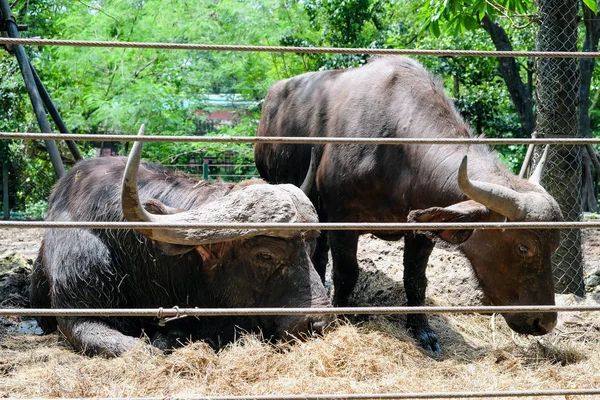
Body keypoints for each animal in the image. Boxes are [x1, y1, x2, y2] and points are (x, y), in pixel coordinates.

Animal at [255, 54, 564, 352]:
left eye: (554, 246)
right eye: (523, 246)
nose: (543, 322)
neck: (398, 152)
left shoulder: (421, 229)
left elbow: (415, 279)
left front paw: (422, 330)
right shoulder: (343, 219)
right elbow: (346, 272)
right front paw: (342, 313)